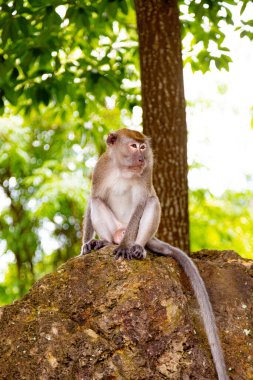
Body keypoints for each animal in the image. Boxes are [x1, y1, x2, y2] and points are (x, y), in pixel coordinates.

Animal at [80, 128, 228, 380]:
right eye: (133, 146)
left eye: (142, 147)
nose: (141, 157)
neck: (123, 169)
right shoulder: (100, 169)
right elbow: (93, 198)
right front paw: (86, 245)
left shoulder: (146, 172)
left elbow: (142, 202)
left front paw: (126, 247)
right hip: (115, 228)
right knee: (98, 203)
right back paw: (105, 242)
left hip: (141, 232)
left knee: (151, 201)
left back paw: (136, 247)